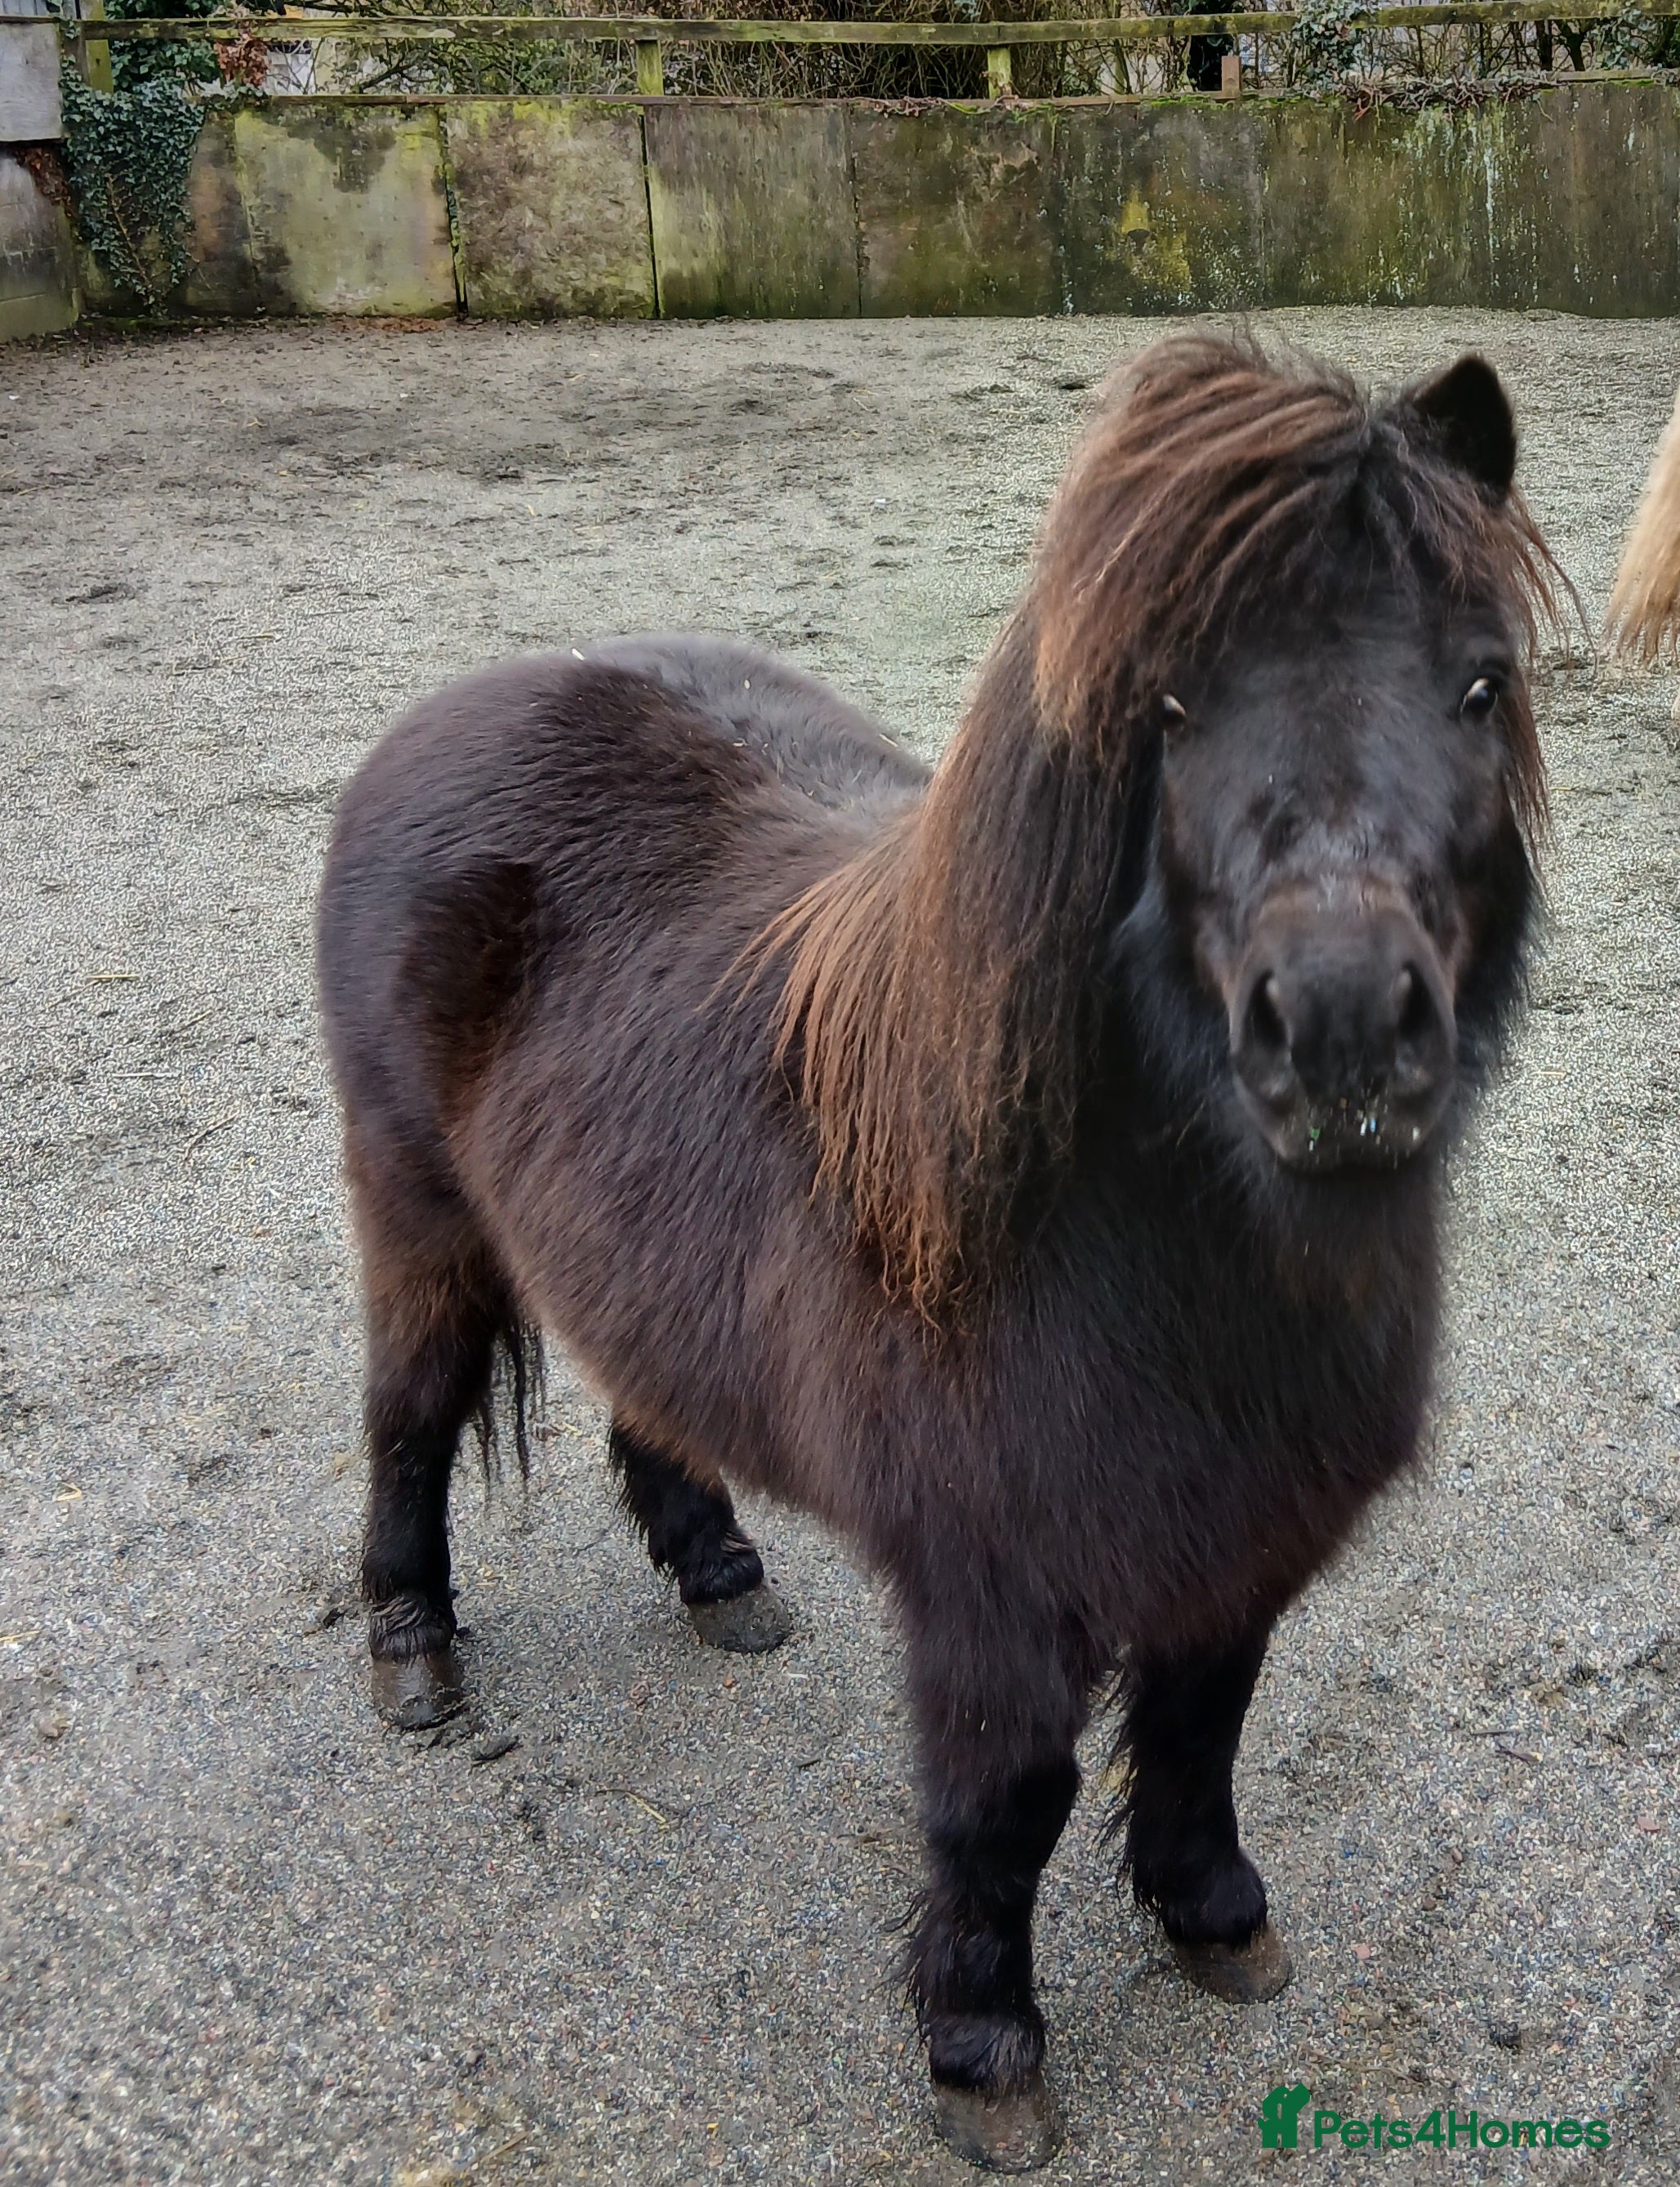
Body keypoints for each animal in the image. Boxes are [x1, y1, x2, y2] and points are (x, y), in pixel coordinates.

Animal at [316, 336, 1555, 2171]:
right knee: (407, 1418)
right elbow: (1005, 1802)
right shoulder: (990, 1585)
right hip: (417, 1217)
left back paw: (718, 1573)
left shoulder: (1236, 1537)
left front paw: (1212, 1916)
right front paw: (983, 2049)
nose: (1337, 1029)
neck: (1137, 1253)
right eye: (1165, 709)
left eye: (1477, 683)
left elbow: (1202, 1722)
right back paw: (413, 1654)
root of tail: (464, 703)